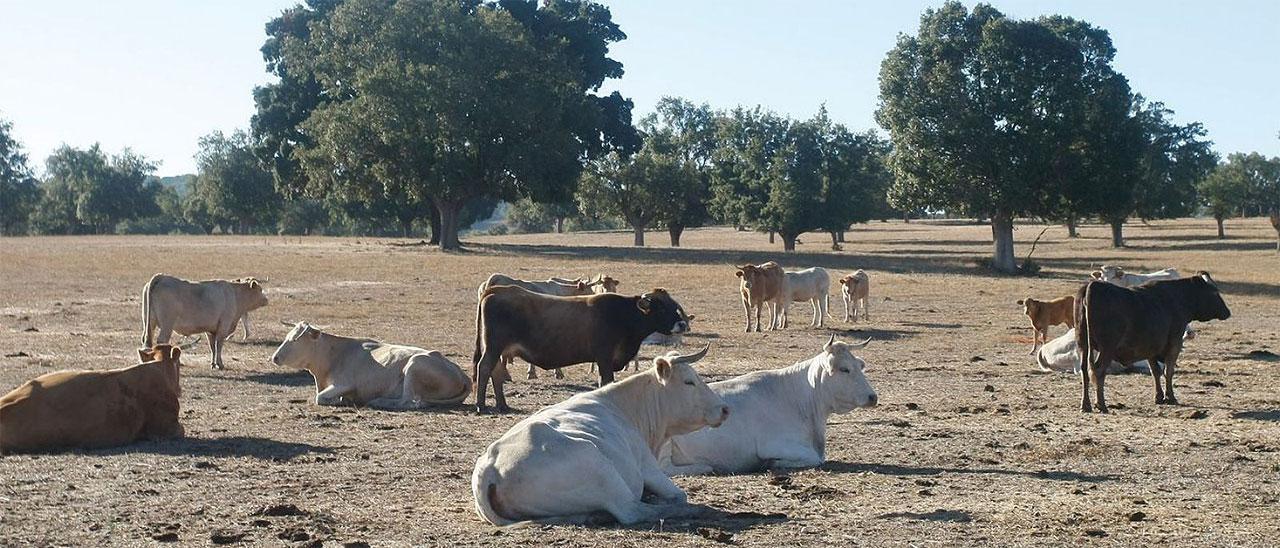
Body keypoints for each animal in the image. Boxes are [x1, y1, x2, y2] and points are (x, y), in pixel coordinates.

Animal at [473, 286, 691, 409]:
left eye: (674, 305)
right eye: (661, 308)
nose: (681, 324)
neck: (623, 315)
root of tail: (495, 291)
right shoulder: (604, 357)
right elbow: (606, 381)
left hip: (498, 349)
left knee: (495, 372)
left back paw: (502, 405)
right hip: (494, 347)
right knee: (484, 368)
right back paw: (481, 405)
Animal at [660, 332, 880, 476]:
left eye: (859, 366)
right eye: (844, 369)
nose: (873, 397)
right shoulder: (775, 445)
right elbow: (815, 459)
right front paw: (772, 463)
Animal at [1080, 271, 1228, 412]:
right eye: (1214, 291)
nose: (1227, 312)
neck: (1178, 297)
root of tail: (1093, 286)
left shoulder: (1150, 348)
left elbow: (1155, 371)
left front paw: (1159, 397)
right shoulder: (1175, 343)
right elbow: (1168, 371)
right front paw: (1170, 397)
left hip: (1084, 346)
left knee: (1085, 371)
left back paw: (1086, 405)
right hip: (1107, 348)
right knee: (1099, 371)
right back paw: (1101, 404)